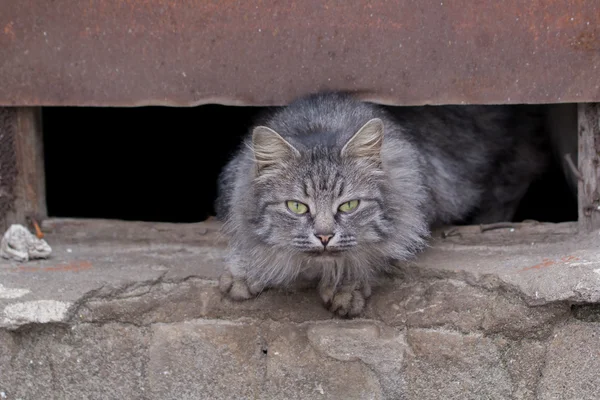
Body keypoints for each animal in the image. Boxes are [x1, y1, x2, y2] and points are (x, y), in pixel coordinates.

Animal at [217, 92, 548, 318]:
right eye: (297, 207)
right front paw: (246, 271)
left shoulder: (418, 203)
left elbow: (366, 253)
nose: (324, 236)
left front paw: (345, 286)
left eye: (349, 205)